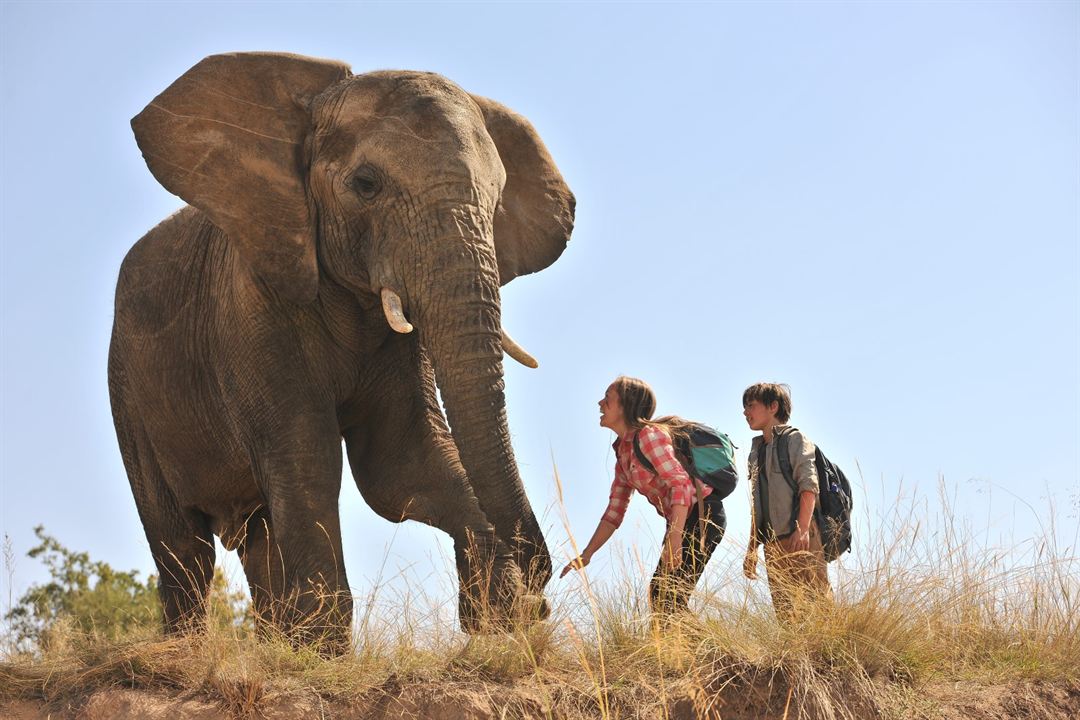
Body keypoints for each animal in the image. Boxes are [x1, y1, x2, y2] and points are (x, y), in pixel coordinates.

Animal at [107, 52, 574, 651]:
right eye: (366, 184)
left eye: (496, 201)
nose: (544, 574)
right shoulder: (251, 307)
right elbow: (310, 458)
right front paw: (324, 652)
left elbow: (399, 465)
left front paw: (501, 612)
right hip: (128, 393)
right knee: (182, 548)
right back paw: (187, 649)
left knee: (259, 536)